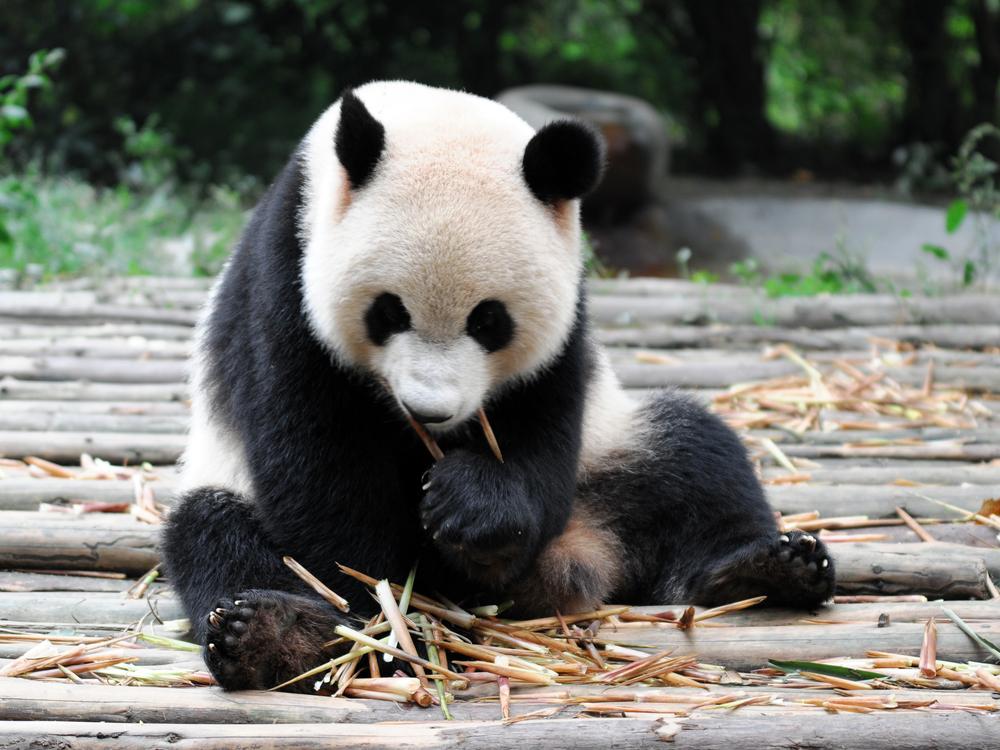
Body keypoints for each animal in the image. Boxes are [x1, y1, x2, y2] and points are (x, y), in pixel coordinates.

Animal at [163, 81, 835, 692]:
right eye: (388, 312)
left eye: (489, 320)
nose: (428, 408)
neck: (433, 116)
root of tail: (586, 559)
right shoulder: (287, 277)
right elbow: (319, 461)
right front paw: (383, 615)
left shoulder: (568, 321)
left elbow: (542, 433)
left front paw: (472, 513)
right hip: (222, 476)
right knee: (214, 536)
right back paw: (277, 638)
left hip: (612, 451)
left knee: (694, 458)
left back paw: (770, 570)